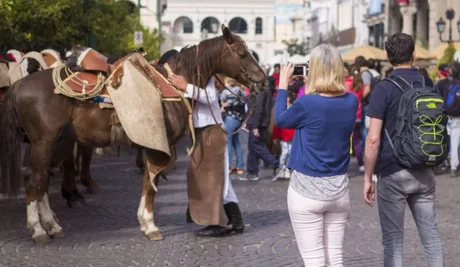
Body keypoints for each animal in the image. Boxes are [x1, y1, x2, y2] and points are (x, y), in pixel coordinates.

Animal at [0, 25, 266, 245]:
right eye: (242, 53)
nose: (262, 80)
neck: (171, 86)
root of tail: (20, 85)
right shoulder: (157, 145)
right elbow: (151, 182)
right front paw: (150, 225)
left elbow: (149, 180)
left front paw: (145, 222)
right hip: (44, 142)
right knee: (35, 180)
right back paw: (38, 230)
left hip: (56, 142)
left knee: (40, 179)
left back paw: (52, 225)